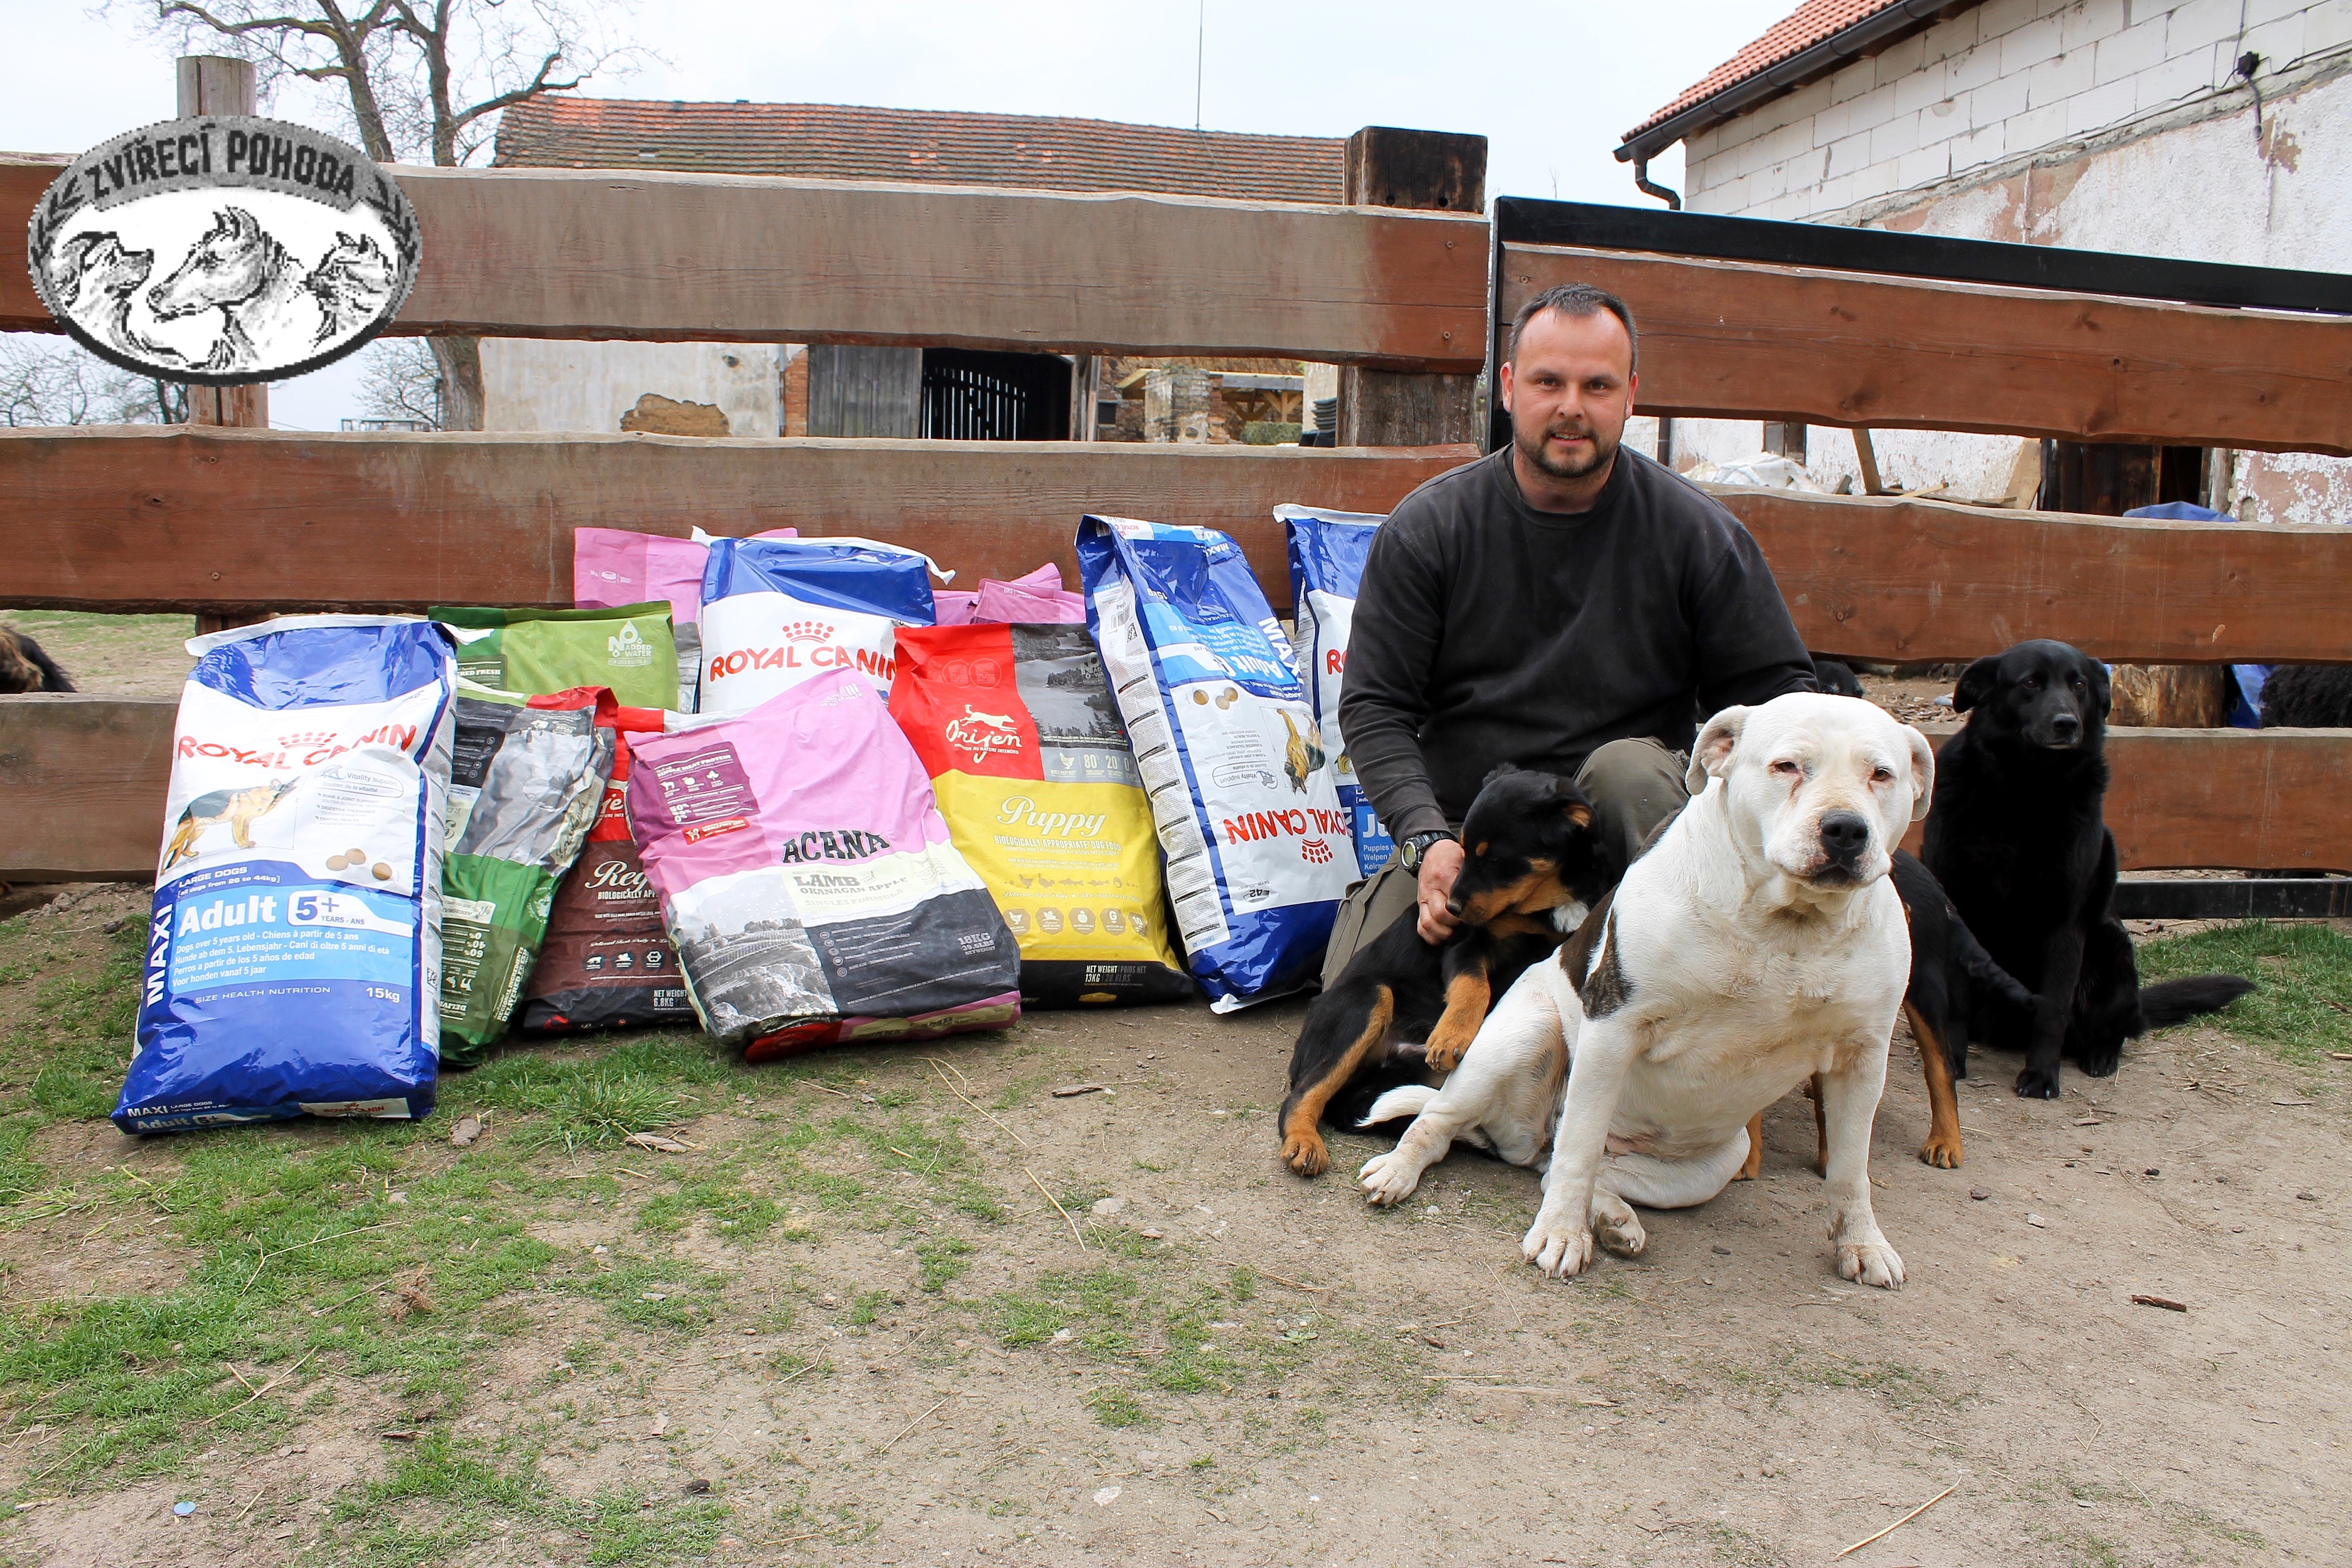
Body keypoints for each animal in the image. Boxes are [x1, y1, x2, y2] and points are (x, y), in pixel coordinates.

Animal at [1279, 766, 1609, 1185]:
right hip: (1367, 998)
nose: (1449, 908)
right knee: (1300, 1096)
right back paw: (1304, 1143)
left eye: (1496, 859)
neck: (1547, 904)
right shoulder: (1466, 946)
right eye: (1462, 851)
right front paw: (1451, 1037)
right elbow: (1473, 986)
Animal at [1364, 695, 1929, 1288]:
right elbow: (1580, 1147)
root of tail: (1529, 1135)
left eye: (1882, 774)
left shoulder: (1862, 1060)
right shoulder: (1614, 1026)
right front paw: (1561, 1233)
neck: (1787, 925)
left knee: (1562, 1169)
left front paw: (1861, 1243)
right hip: (1518, 1040)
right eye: (1787, 766)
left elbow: (1850, 1169)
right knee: (1455, 1123)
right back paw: (1401, 1170)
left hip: (1719, 1159)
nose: (1845, 830)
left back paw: (1612, 1217)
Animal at [1919, 639, 2248, 1104]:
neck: (2023, 794)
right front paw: (1952, 1061)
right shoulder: (1958, 906)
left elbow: (2053, 1009)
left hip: (2111, 948)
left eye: (2080, 686)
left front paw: (2041, 1076)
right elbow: (1957, 1003)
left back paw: (2101, 1056)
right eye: (2030, 683)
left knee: (2113, 1028)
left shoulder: (2066, 923)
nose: (2066, 723)